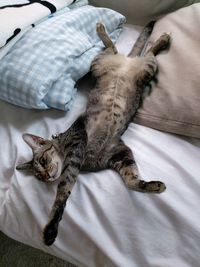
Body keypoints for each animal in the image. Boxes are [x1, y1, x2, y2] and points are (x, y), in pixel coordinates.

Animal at [16, 23, 171, 247]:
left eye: (43, 161)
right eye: (39, 178)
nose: (47, 176)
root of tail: (128, 61)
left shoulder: (77, 148)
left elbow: (63, 191)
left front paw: (51, 227)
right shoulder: (120, 154)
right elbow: (131, 180)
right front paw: (152, 186)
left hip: (120, 65)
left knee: (130, 49)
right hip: (123, 67)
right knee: (122, 49)